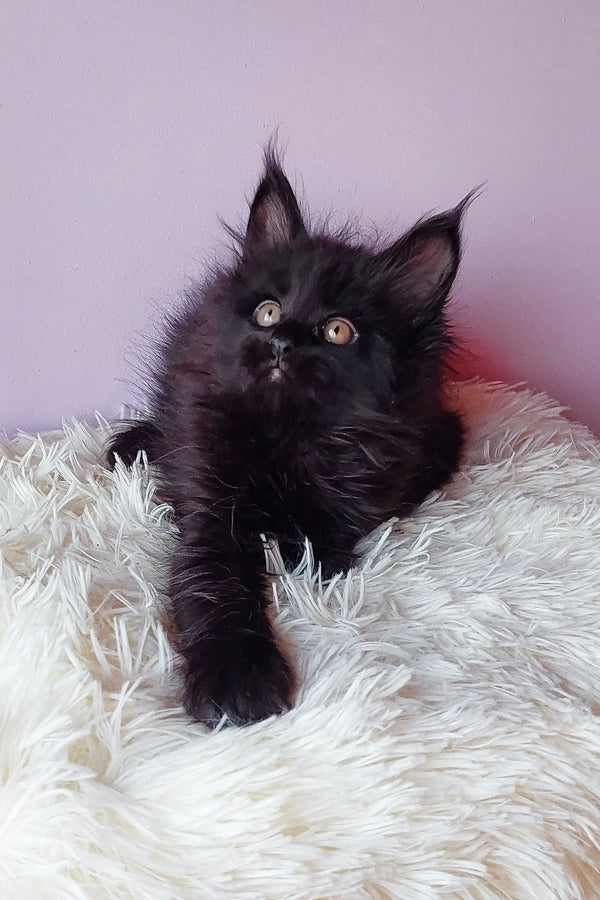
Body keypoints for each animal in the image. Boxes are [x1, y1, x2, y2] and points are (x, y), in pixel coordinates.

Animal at [110, 148, 472, 724]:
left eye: (338, 330)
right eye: (269, 312)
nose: (281, 341)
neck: (286, 435)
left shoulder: (392, 463)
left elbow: (328, 541)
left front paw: (293, 547)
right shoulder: (211, 495)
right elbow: (214, 580)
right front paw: (237, 680)